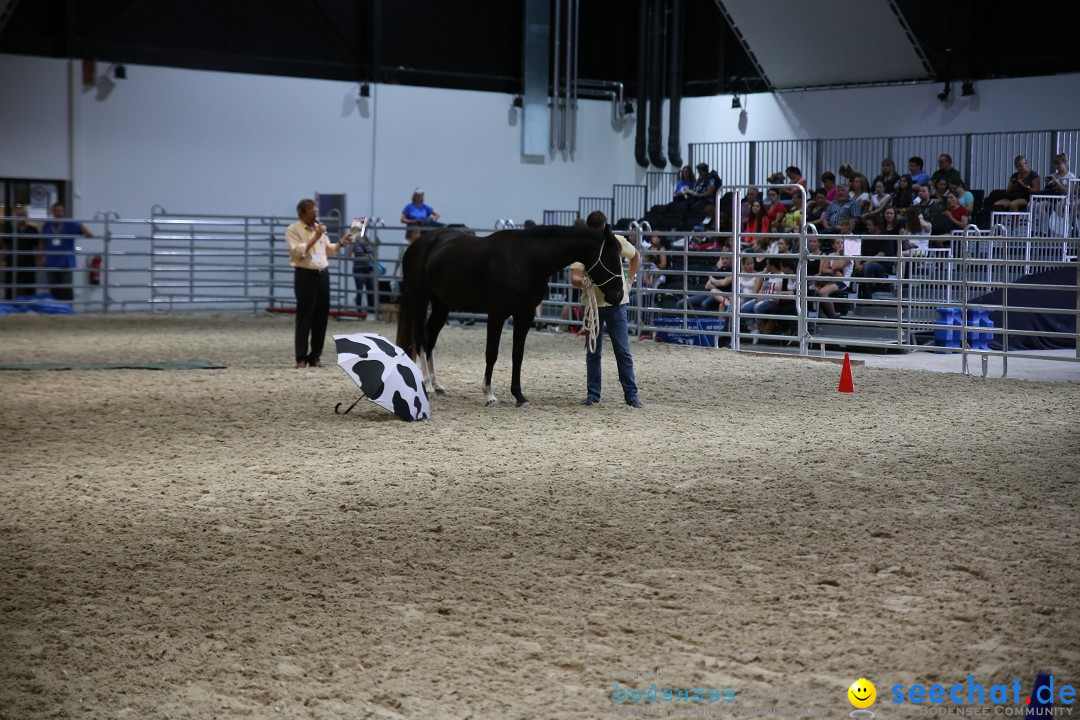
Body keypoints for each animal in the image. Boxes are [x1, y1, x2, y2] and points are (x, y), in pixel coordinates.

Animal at [397, 223, 626, 405]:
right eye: (611, 258)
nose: (618, 296)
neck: (524, 261)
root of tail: (416, 246)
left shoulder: (525, 315)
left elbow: (518, 354)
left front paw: (519, 396)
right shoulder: (497, 313)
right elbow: (492, 352)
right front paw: (489, 395)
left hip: (441, 305)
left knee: (430, 340)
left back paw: (436, 385)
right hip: (420, 301)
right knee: (422, 339)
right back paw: (427, 384)